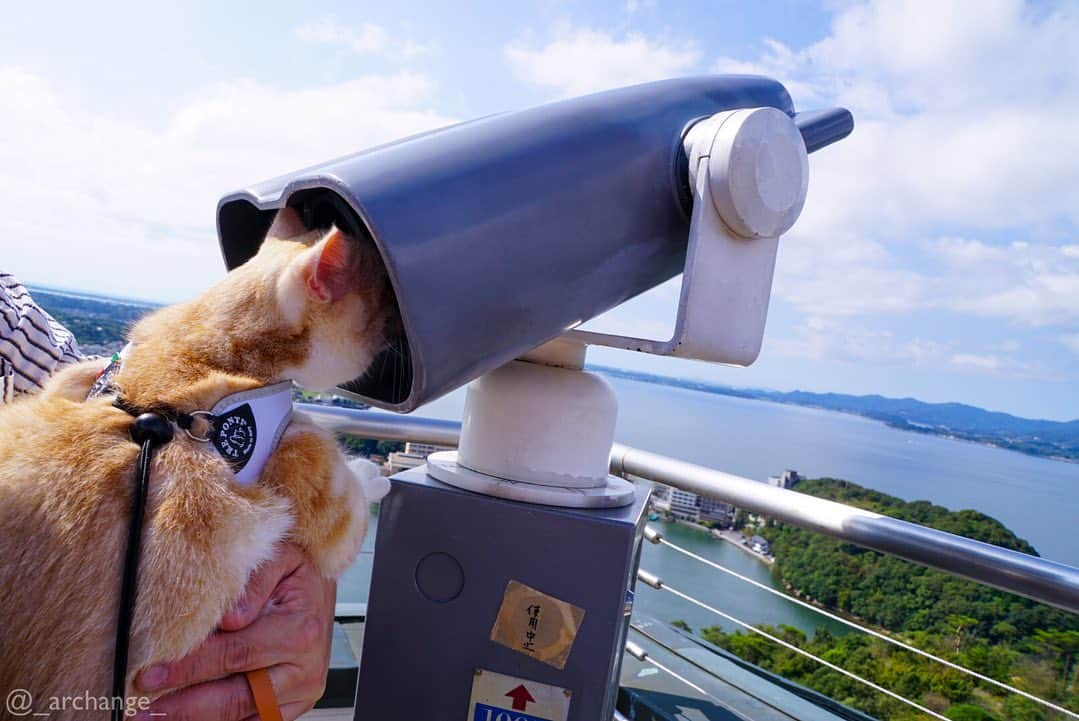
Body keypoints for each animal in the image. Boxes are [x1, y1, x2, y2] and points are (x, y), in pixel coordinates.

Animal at [0, 205, 394, 716]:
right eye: (381, 302)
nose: (394, 330)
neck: (197, 350)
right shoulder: (320, 482)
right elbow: (353, 496)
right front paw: (374, 474)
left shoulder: (74, 376)